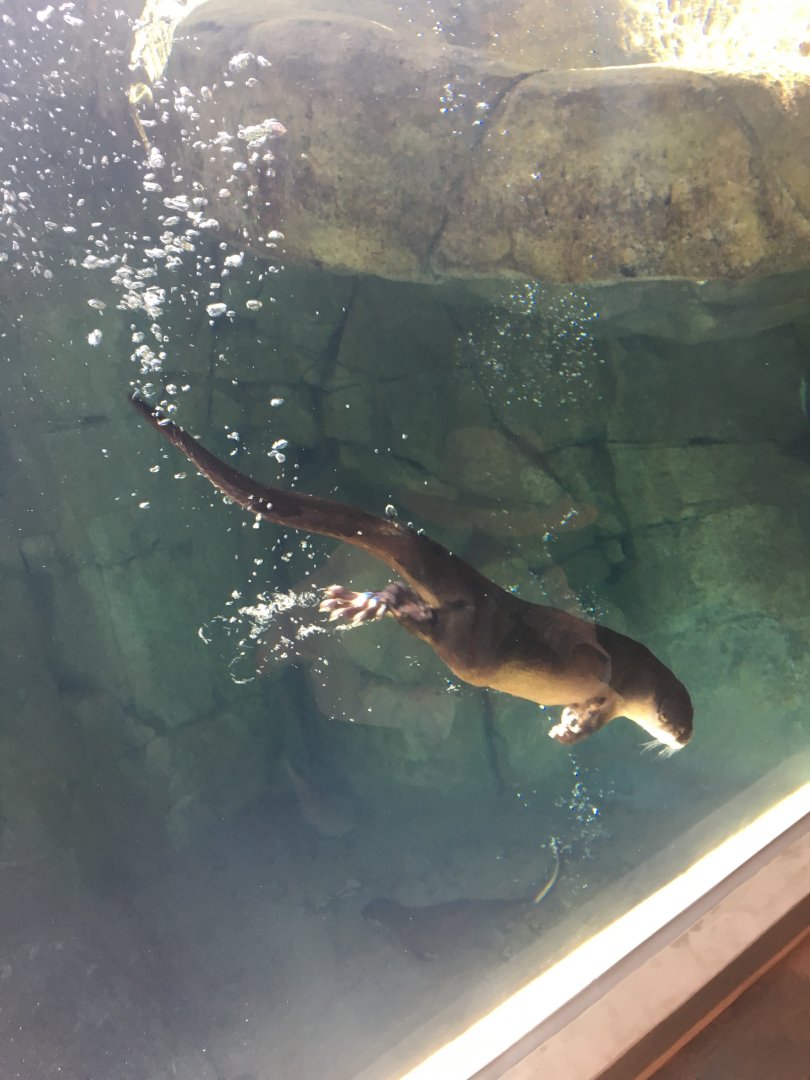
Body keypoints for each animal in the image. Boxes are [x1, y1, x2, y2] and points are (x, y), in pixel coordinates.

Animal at [130, 393, 693, 752]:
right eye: (677, 715)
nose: (685, 737)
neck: (636, 682)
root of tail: (480, 587)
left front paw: (566, 726)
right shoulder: (612, 676)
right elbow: (596, 673)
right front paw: (576, 718)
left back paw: (359, 602)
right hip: (474, 648)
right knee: (429, 623)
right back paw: (372, 605)